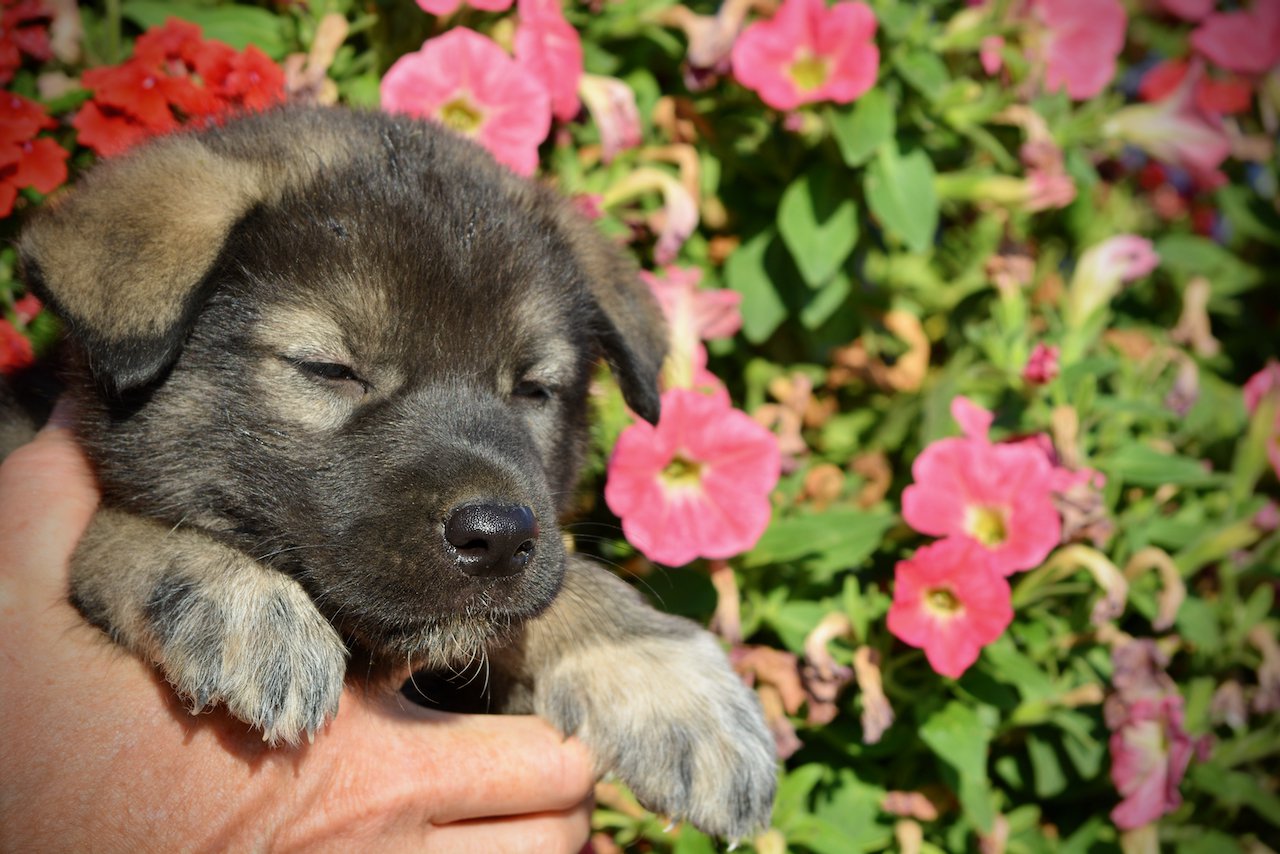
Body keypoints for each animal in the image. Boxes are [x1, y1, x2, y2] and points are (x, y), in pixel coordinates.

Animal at [10, 103, 773, 839]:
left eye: (534, 389)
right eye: (330, 370)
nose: (498, 537)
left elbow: (556, 584)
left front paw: (665, 677)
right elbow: (115, 527)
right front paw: (234, 596)